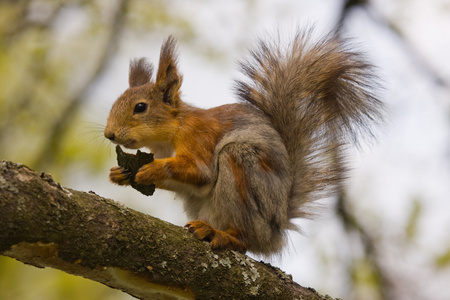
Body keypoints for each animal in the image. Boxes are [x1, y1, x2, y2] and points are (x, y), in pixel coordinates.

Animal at [104, 31, 384, 255]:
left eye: (140, 107)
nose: (109, 134)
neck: (170, 134)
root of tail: (275, 230)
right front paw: (121, 173)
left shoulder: (198, 137)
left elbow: (200, 172)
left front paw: (152, 169)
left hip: (241, 169)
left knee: (245, 238)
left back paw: (220, 235)